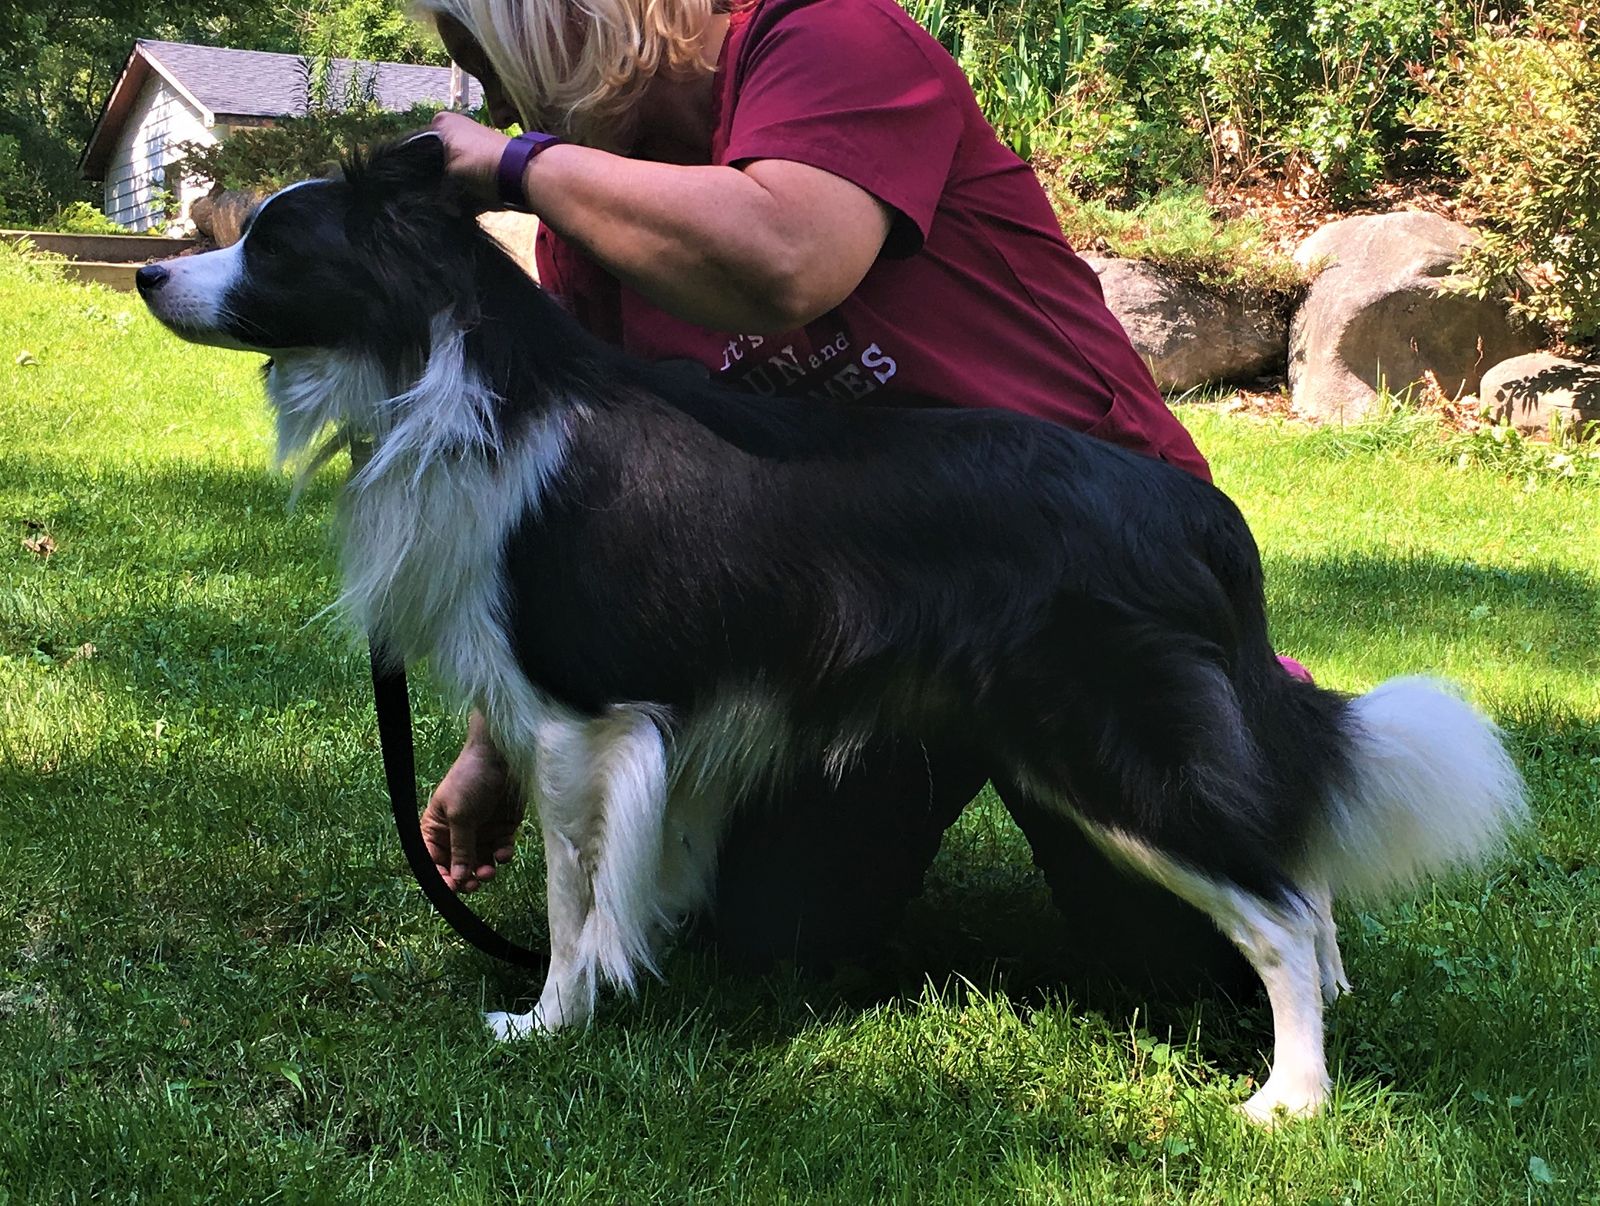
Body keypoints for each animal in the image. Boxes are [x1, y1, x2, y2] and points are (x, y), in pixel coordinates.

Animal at [138, 134, 1526, 1121]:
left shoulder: (582, 713)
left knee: (1276, 911)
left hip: (1108, 743)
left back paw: (1291, 1100)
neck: (457, 369)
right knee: (1297, 866)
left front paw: (549, 1024)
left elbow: (575, 895)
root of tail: (1199, 514)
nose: (147, 271)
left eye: (274, 244)